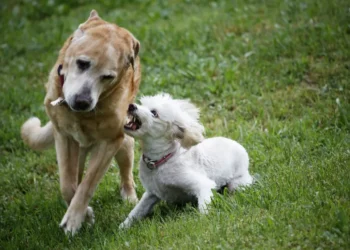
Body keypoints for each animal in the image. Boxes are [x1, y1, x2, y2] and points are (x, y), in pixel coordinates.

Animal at [20, 9, 139, 235]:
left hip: (124, 145)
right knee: (75, 175)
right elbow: (67, 184)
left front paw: (75, 218)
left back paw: (129, 196)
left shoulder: (110, 142)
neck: (82, 116)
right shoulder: (64, 137)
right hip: (79, 150)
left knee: (126, 172)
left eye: (107, 76)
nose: (82, 101)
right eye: (82, 63)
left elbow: (88, 184)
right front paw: (85, 214)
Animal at [119, 94, 252, 229]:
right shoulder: (151, 193)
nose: (131, 106)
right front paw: (123, 227)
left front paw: (204, 222)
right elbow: (136, 212)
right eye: (142, 104)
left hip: (237, 183)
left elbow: (204, 207)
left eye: (154, 113)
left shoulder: (202, 185)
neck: (160, 160)